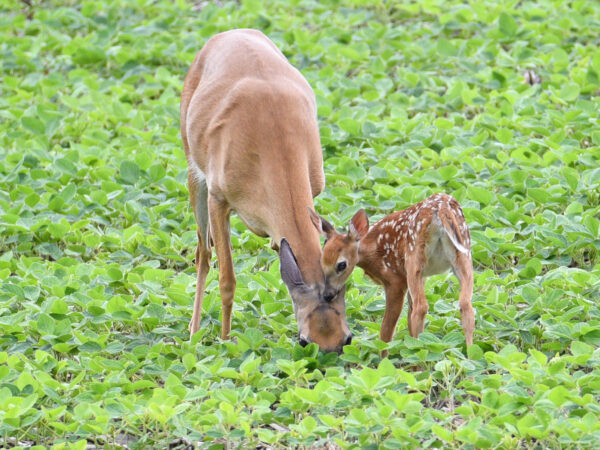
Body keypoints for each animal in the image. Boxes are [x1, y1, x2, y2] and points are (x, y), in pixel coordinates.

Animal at [178, 28, 352, 354]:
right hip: (195, 178)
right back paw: (193, 333)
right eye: (304, 341)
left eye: (346, 341)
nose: (331, 347)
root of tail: (229, 33)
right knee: (203, 253)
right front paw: (226, 342)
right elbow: (228, 280)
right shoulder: (218, 201)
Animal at [312, 194, 476, 348]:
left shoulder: (396, 280)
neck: (372, 250)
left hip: (414, 257)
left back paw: (418, 350)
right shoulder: (419, 277)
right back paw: (469, 353)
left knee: (421, 307)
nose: (327, 295)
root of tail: (441, 209)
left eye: (341, 265)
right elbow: (408, 315)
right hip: (463, 253)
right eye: (321, 262)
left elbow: (386, 331)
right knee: (466, 305)